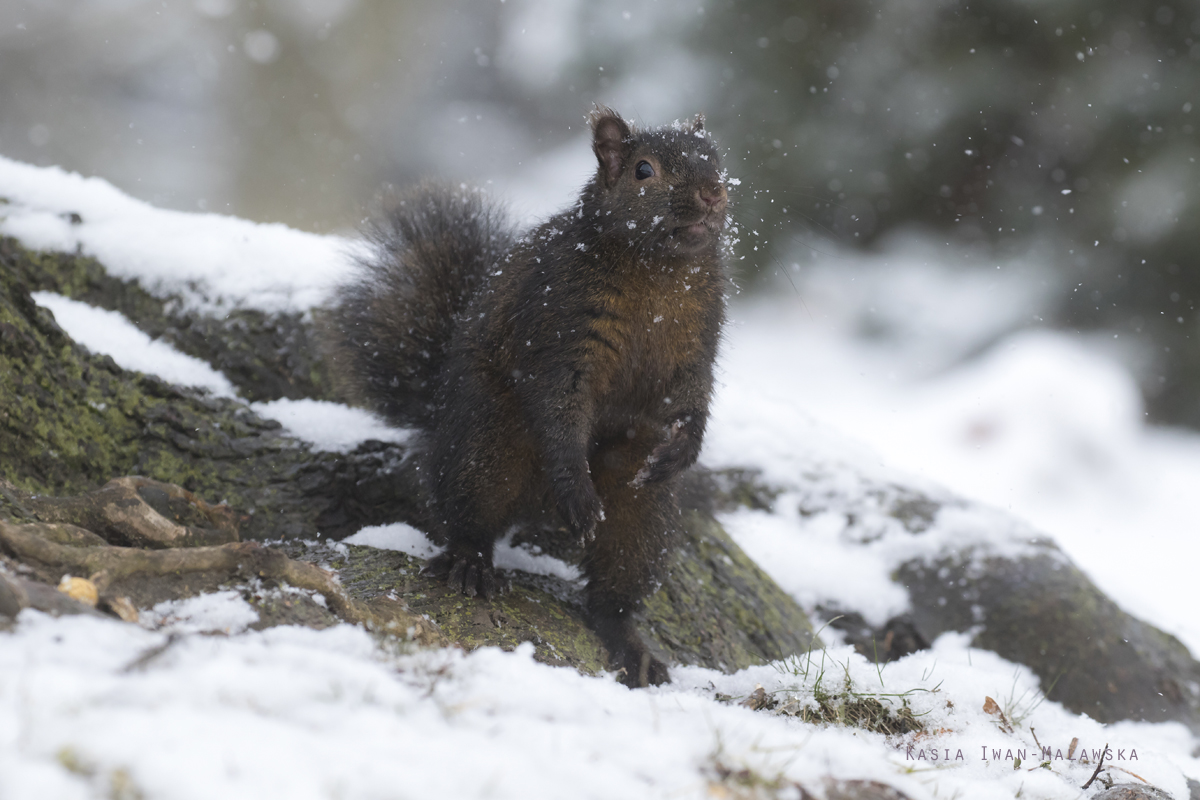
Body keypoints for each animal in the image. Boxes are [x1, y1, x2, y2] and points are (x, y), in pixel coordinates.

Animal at [324, 103, 724, 686]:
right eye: (643, 170)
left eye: (717, 159)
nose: (714, 194)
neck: (662, 268)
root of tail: (537, 509)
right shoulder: (562, 322)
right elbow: (561, 403)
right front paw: (577, 489)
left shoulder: (699, 335)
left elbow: (694, 394)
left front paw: (684, 447)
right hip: (486, 447)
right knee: (467, 518)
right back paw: (473, 564)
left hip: (642, 511)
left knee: (612, 593)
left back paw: (632, 646)